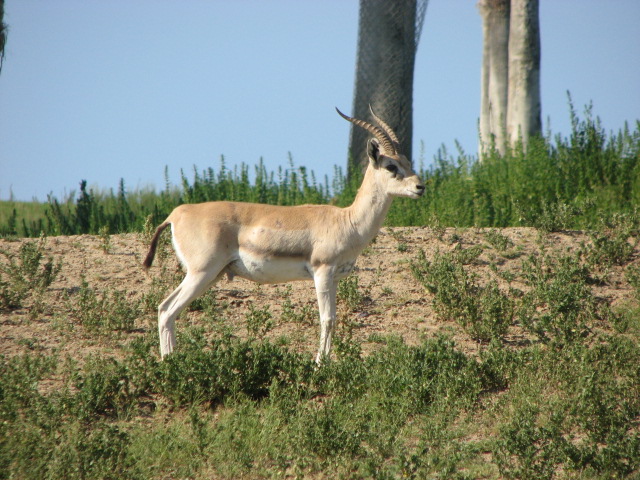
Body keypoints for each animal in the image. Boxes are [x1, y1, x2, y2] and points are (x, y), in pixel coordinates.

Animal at [143, 107, 425, 363]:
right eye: (391, 166)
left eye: (408, 163)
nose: (420, 187)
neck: (347, 221)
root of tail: (177, 213)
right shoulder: (322, 272)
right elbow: (327, 319)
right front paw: (319, 365)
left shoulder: (334, 278)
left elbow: (333, 319)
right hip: (202, 272)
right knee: (167, 310)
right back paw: (170, 365)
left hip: (212, 274)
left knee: (166, 308)